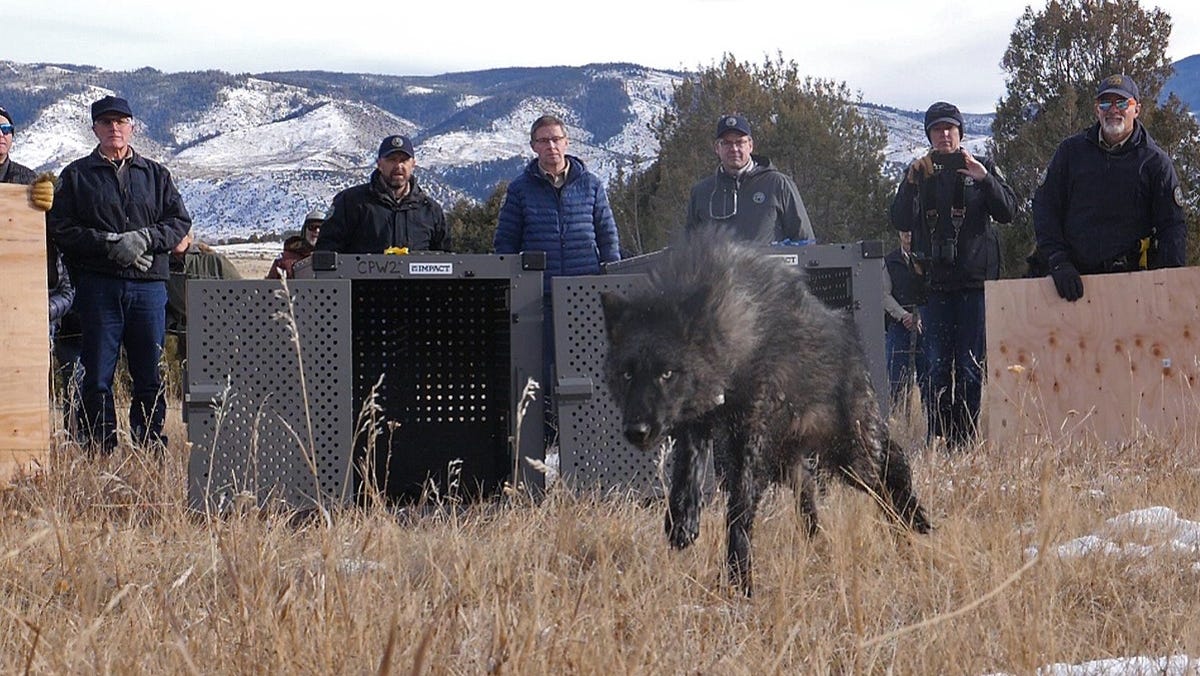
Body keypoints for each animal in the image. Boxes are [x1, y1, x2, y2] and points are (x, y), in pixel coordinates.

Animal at [604, 232, 931, 597]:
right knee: (810, 491)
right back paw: (816, 543)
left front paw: (739, 580)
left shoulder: (751, 441)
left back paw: (911, 523)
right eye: (627, 374)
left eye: (667, 374)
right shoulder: (698, 425)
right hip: (794, 462)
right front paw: (683, 521)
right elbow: (687, 475)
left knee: (891, 472)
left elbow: (739, 510)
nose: (637, 431)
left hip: (851, 457)